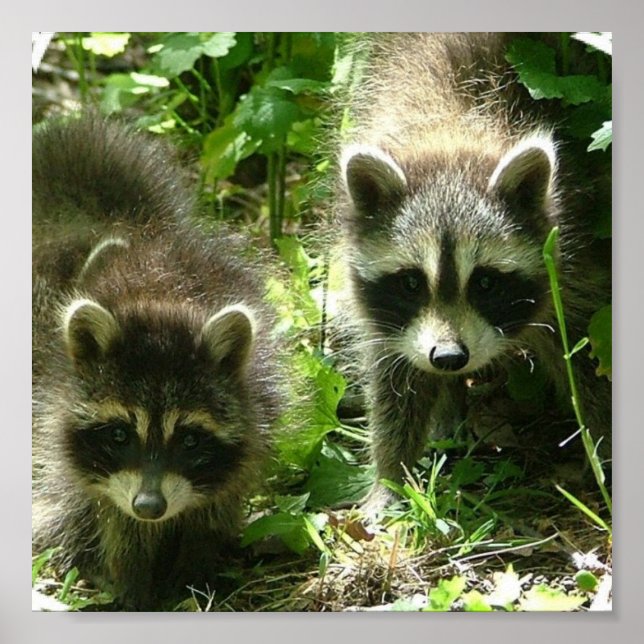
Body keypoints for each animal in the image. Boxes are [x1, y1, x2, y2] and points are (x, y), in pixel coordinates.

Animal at [32, 115, 283, 609]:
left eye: (189, 439)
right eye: (118, 434)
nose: (150, 507)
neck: (164, 297)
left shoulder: (249, 419)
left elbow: (213, 508)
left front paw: (191, 577)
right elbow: (113, 521)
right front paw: (131, 585)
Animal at [333, 33, 611, 513]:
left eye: (485, 282)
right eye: (411, 282)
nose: (448, 357)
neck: (452, 128)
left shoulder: (574, 262)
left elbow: (589, 358)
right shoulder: (387, 314)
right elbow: (395, 382)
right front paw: (390, 476)